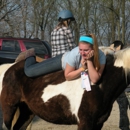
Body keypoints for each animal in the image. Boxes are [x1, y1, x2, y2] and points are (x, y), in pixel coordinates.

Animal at [0, 48, 130, 130]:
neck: (100, 84)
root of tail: (7, 68)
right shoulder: (85, 122)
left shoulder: (98, 123)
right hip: (9, 109)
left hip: (27, 111)